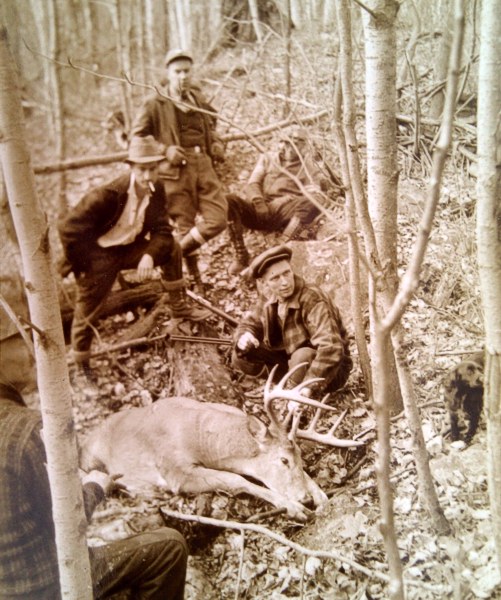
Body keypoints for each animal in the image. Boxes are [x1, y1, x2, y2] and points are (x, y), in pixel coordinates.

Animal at [81, 370, 332, 520]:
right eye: (283, 460)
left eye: (299, 456)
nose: (304, 498)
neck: (200, 436)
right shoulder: (176, 471)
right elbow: (236, 479)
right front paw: (294, 508)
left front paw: (320, 497)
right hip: (91, 458)